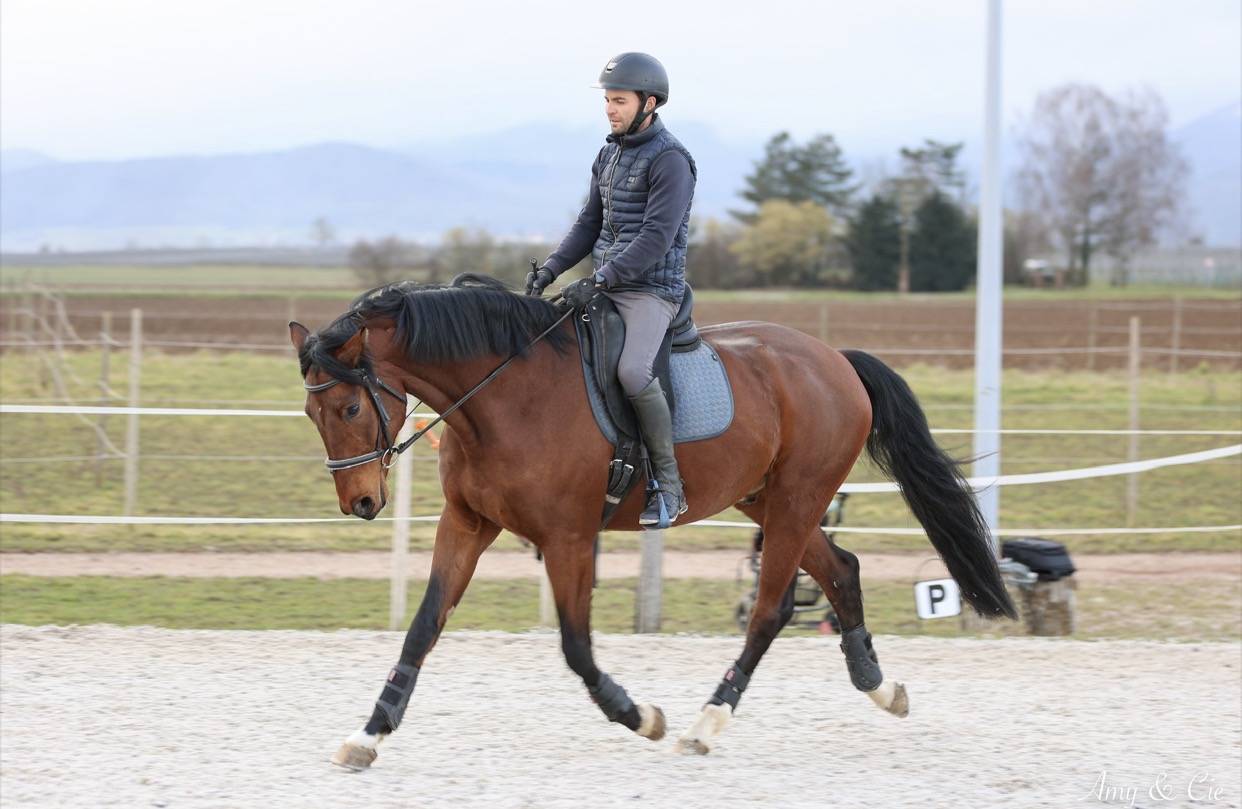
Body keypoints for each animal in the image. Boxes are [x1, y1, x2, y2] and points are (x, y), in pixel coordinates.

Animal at [288, 274, 1016, 769]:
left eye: (350, 407)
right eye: (312, 413)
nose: (359, 503)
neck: (502, 395)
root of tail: (836, 359)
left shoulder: (568, 539)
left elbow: (576, 648)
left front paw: (642, 716)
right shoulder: (466, 526)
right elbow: (423, 627)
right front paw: (369, 733)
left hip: (796, 500)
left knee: (771, 608)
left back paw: (706, 721)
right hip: (770, 500)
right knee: (840, 571)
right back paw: (880, 687)